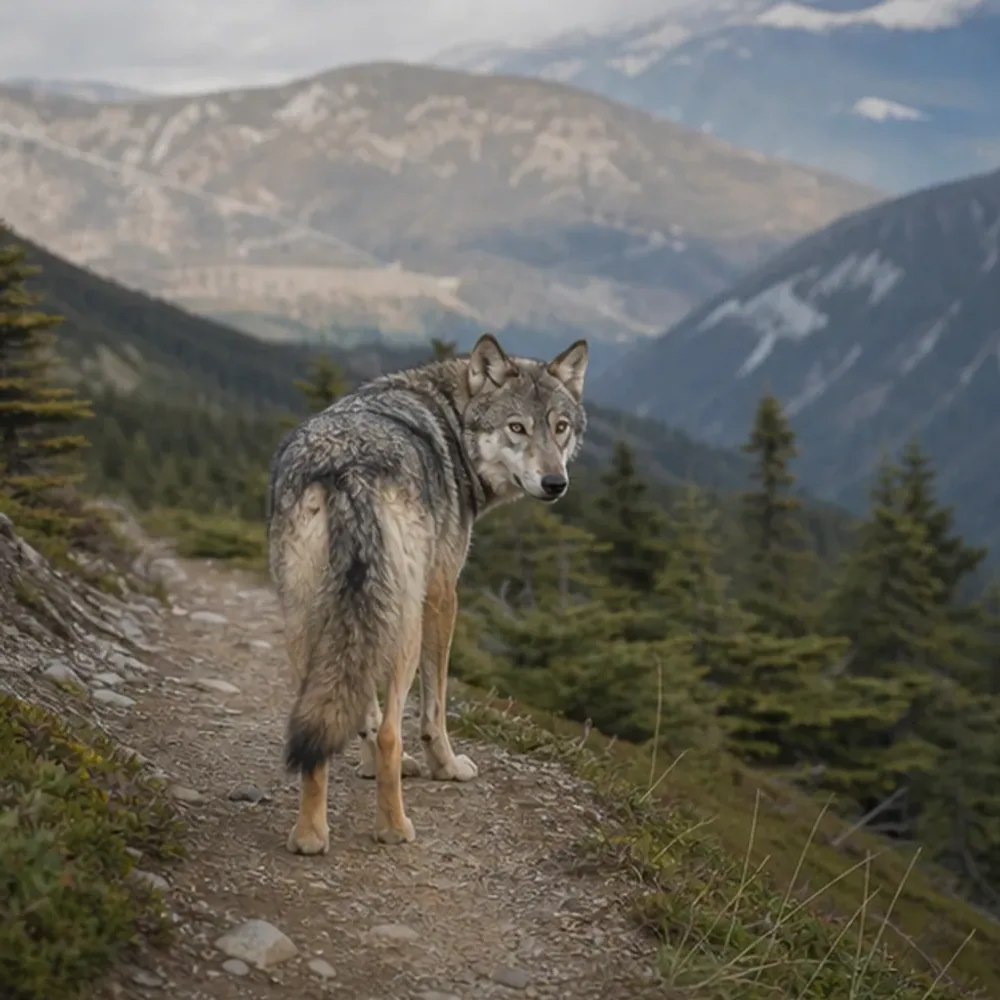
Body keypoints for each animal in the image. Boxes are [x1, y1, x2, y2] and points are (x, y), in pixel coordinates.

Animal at [266, 333, 589, 853]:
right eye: (517, 428)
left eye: (559, 428)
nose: (554, 483)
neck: (453, 423)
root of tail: (349, 469)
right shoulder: (442, 595)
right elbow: (434, 708)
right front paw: (447, 767)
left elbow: (360, 706)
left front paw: (366, 767)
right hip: (405, 627)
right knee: (392, 732)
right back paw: (395, 829)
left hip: (305, 620)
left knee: (317, 723)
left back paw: (310, 834)